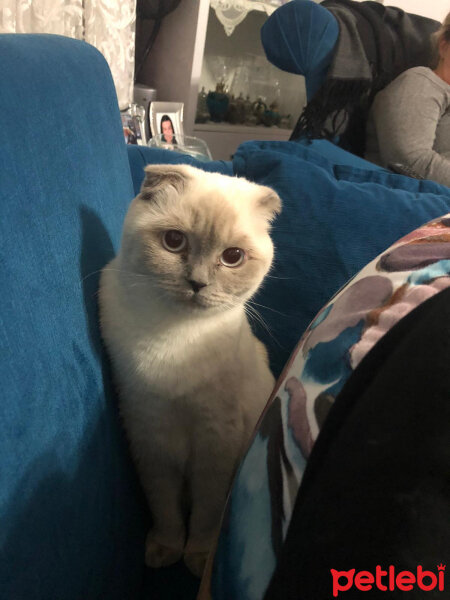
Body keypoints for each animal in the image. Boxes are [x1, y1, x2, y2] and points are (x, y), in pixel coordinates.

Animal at [100, 164, 280, 576]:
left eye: (232, 257)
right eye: (174, 241)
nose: (197, 284)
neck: (173, 339)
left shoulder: (217, 440)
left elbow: (206, 512)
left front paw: (197, 557)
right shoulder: (149, 432)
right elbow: (164, 506)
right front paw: (166, 551)